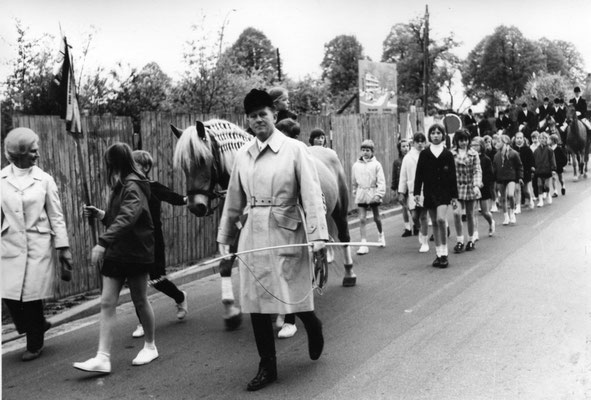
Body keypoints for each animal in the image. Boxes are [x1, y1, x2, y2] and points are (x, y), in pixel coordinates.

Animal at [170, 119, 356, 332]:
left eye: (202, 160)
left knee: (344, 237)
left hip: (338, 211)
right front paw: (231, 311)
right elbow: (225, 265)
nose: (196, 206)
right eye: (183, 165)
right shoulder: (236, 231)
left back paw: (349, 275)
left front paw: (283, 316)